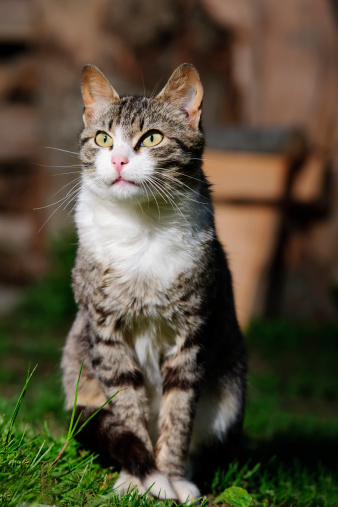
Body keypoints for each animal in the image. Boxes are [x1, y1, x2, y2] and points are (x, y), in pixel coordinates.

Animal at [61, 63, 246, 504]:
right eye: (103, 138)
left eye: (152, 138)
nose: (119, 160)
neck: (140, 228)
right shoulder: (106, 332)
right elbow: (127, 406)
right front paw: (138, 479)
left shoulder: (191, 334)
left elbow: (178, 414)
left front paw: (173, 477)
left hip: (231, 387)